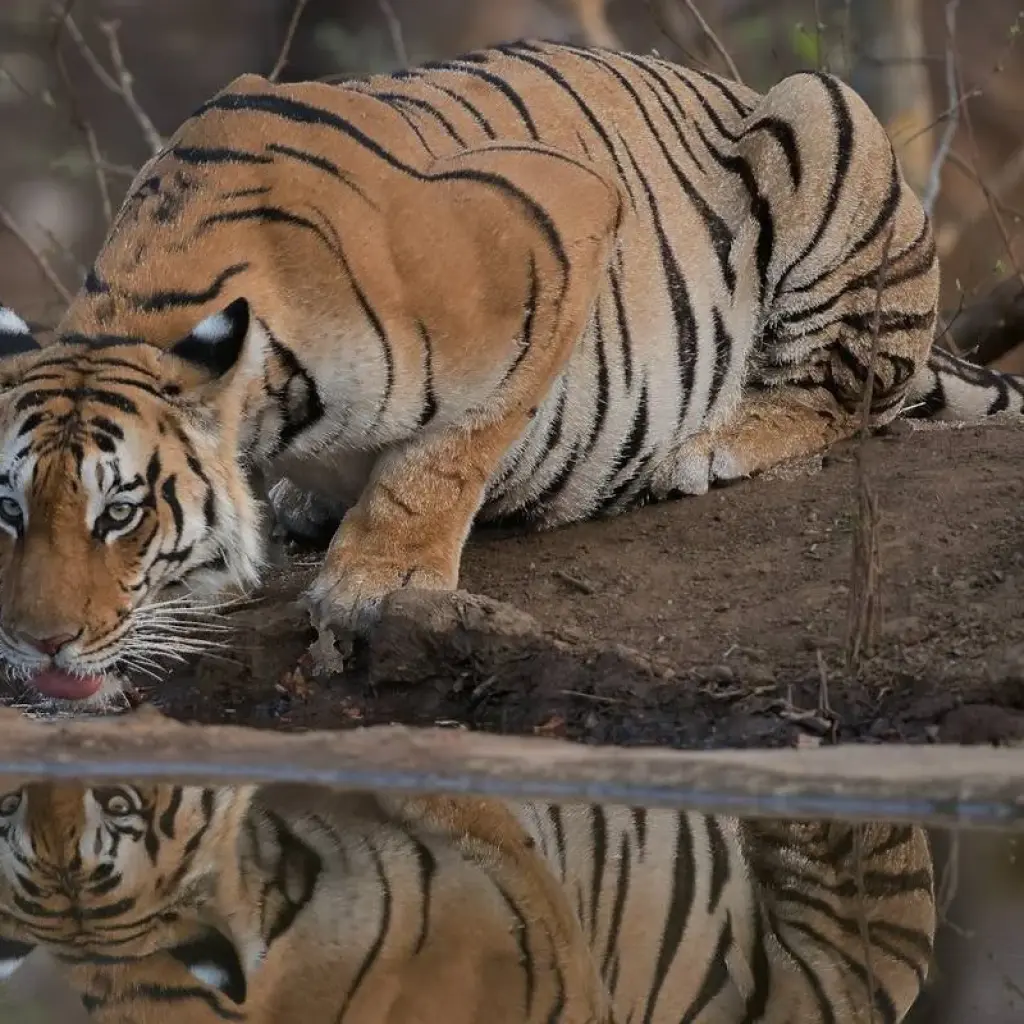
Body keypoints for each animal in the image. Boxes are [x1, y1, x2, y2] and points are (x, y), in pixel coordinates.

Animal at [0, 40, 1021, 703]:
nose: (36, 644)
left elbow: (447, 452)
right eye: (9, 510)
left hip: (824, 115)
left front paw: (381, 580)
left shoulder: (559, 222)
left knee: (853, 390)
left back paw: (709, 445)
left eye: (119, 514)